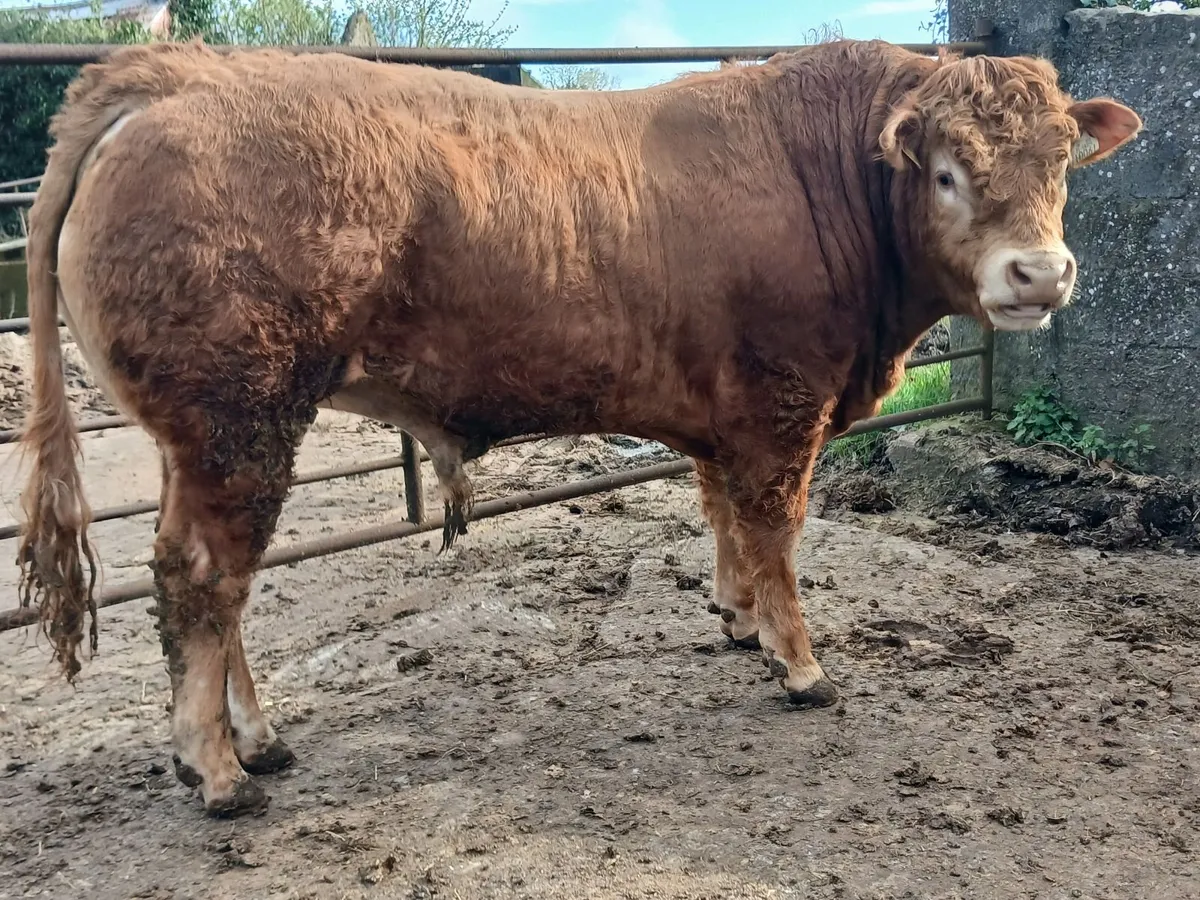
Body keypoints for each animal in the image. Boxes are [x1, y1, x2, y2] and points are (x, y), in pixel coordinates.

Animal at [17, 38, 1140, 817]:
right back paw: (218, 770)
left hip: (206, 439)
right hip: (239, 421)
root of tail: (174, 73)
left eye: (1063, 163)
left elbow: (722, 515)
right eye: (947, 171)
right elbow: (776, 528)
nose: (1039, 274)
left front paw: (736, 620)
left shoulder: (723, 411)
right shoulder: (784, 402)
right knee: (203, 580)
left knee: (218, 585)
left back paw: (255, 740)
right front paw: (799, 662)